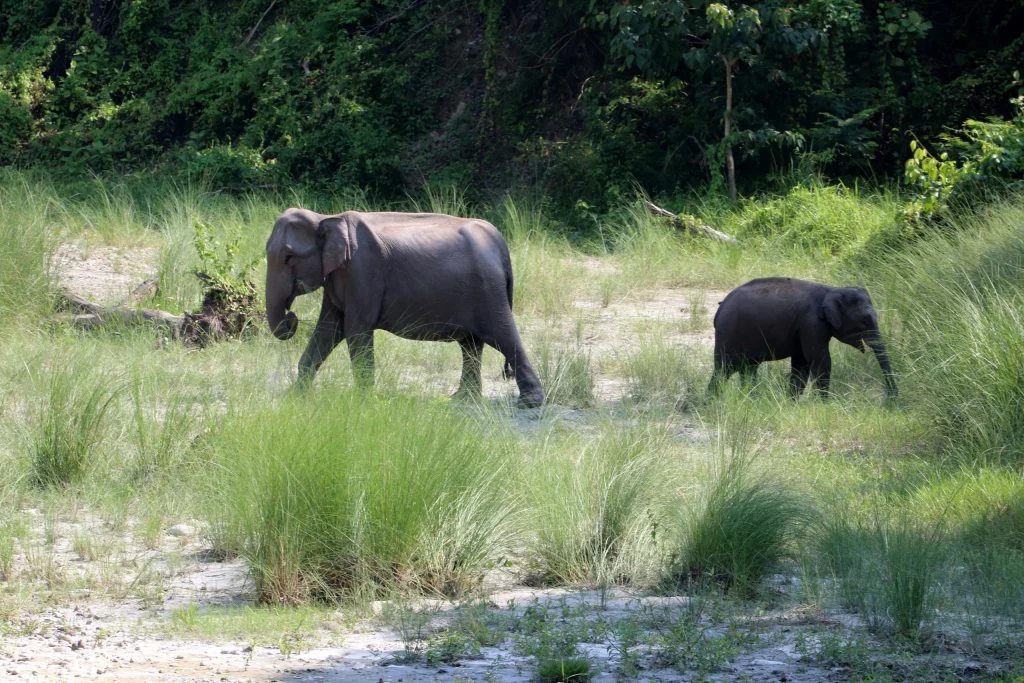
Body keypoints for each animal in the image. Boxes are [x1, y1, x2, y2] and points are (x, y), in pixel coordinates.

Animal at [268, 208, 548, 409]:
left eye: (288, 257)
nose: (291, 318)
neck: (324, 218)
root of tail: (499, 241)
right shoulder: (338, 277)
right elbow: (328, 330)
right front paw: (294, 396)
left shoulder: (362, 272)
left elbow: (355, 329)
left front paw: (363, 402)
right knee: (471, 343)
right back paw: (462, 398)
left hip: (489, 291)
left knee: (503, 335)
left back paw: (529, 404)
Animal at [708, 274, 901, 397]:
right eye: (864, 321)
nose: (891, 399)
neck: (832, 290)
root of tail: (719, 309)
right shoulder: (811, 322)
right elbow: (820, 360)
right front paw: (823, 405)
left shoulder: (803, 327)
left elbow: (802, 364)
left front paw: (791, 403)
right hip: (728, 333)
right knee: (724, 368)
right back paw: (713, 402)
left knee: (748, 368)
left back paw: (750, 400)